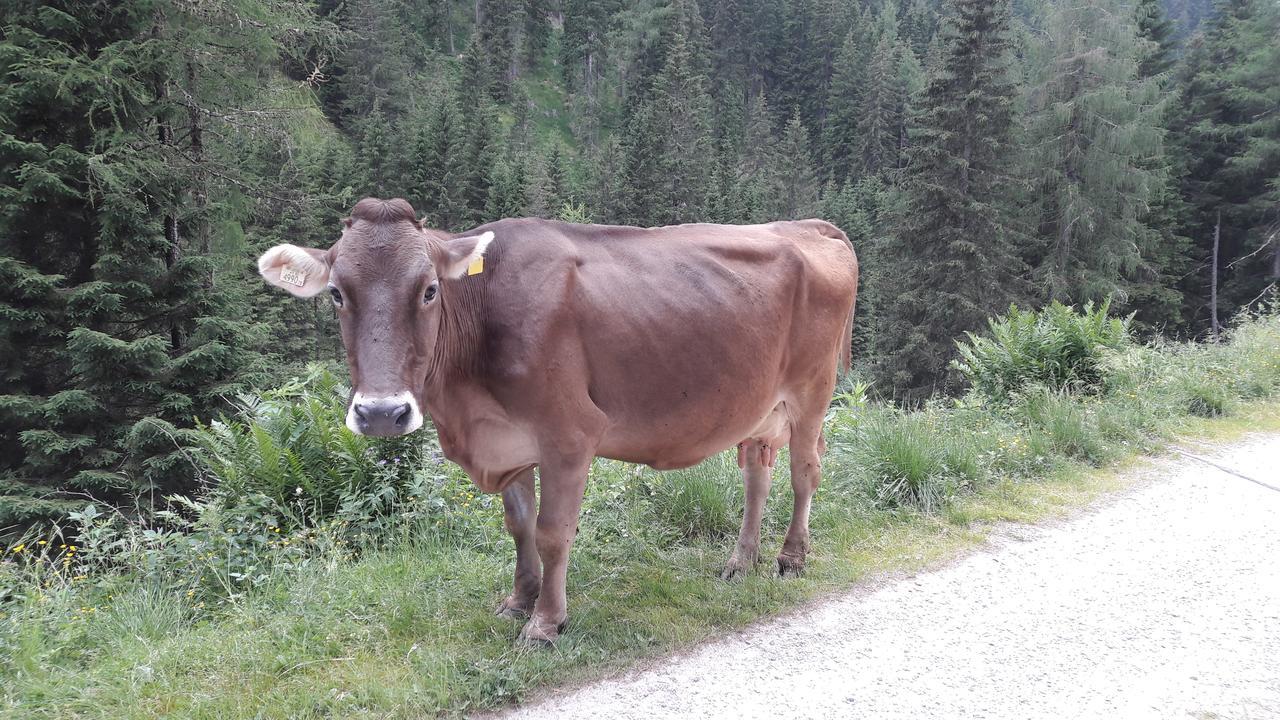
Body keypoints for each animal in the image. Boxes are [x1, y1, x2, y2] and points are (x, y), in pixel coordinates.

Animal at [259, 198, 860, 640]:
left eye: (429, 290)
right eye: (338, 294)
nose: (382, 413)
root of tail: (808, 225)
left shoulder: (569, 434)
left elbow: (552, 532)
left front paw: (546, 623)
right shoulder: (509, 438)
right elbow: (518, 525)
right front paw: (518, 601)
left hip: (812, 392)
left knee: (805, 470)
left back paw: (790, 557)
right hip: (759, 406)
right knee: (757, 473)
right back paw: (741, 560)